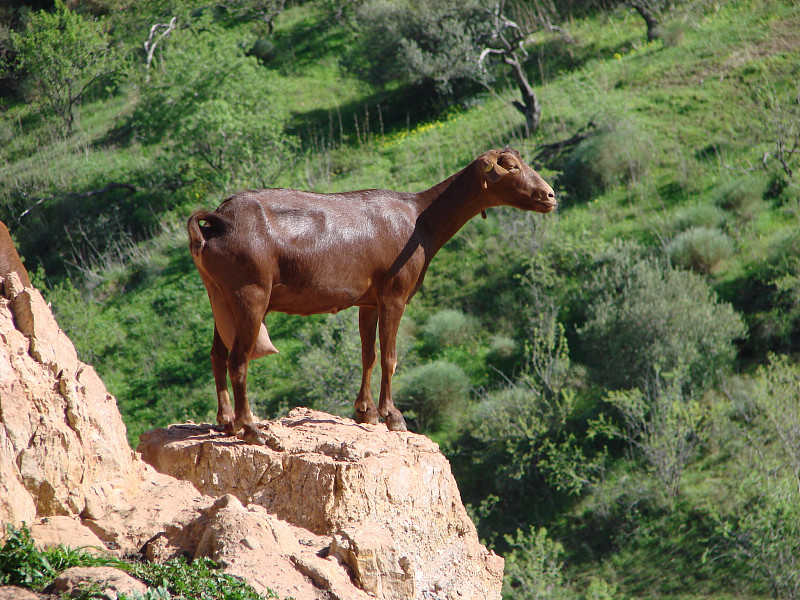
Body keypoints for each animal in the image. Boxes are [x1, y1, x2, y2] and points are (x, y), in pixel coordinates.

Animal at [187, 148, 552, 442]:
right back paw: (252, 430)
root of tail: (217, 221)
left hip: (220, 297)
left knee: (217, 354)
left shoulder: (369, 300)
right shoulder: (394, 294)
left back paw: (226, 422)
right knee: (238, 360)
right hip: (250, 294)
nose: (549, 196)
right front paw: (393, 416)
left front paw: (365, 412)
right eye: (511, 166)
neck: (420, 220)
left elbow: (369, 354)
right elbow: (390, 357)